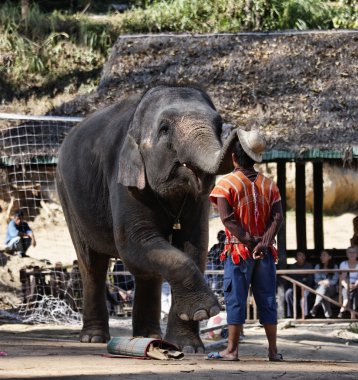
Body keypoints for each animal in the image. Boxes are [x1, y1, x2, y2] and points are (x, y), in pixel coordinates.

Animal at [56, 84, 236, 352]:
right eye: (164, 129)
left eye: (218, 123)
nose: (234, 130)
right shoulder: (123, 178)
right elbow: (133, 243)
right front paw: (205, 311)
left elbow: (194, 244)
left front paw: (189, 347)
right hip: (67, 196)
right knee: (92, 264)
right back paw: (94, 338)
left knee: (146, 271)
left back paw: (148, 336)